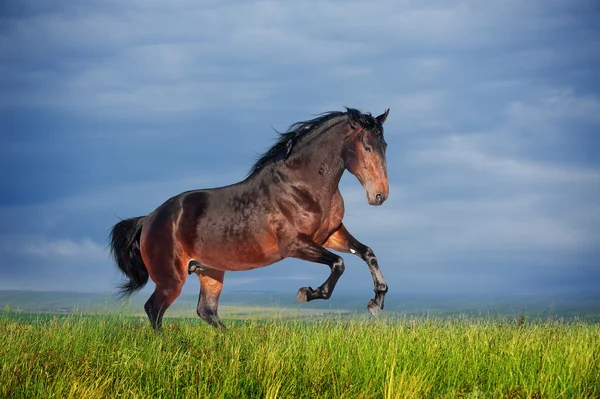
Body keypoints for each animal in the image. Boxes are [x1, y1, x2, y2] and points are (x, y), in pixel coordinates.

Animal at [110, 108, 392, 330]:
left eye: (385, 147)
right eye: (367, 147)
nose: (380, 195)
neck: (302, 185)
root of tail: (149, 219)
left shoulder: (330, 234)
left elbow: (367, 253)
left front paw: (376, 302)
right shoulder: (294, 244)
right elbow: (338, 264)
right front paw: (308, 293)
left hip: (209, 271)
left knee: (206, 311)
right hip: (171, 279)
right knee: (154, 309)